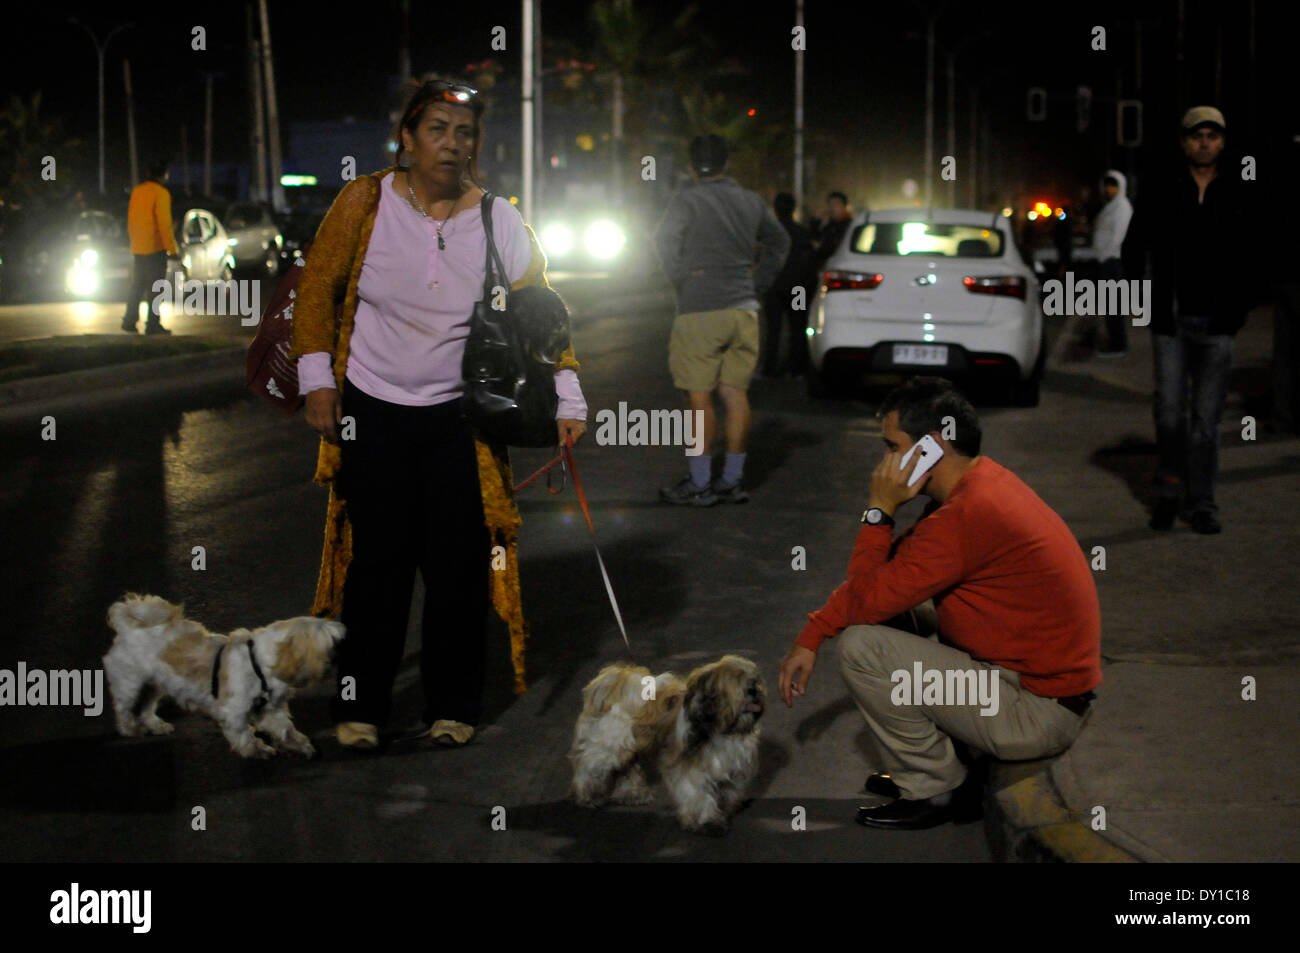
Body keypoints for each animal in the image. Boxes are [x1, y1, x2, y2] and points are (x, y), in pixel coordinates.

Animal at [102, 595, 345, 759]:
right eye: (332, 646)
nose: (337, 660)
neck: (258, 663)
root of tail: (128, 624)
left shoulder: (269, 710)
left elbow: (284, 729)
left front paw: (298, 745)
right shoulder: (234, 712)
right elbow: (244, 736)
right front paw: (257, 750)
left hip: (154, 685)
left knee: (146, 707)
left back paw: (155, 725)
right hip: (130, 684)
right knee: (125, 709)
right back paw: (131, 729)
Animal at [566, 655, 759, 832]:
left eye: (755, 680)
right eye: (736, 680)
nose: (753, 689)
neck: (723, 729)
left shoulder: (733, 768)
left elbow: (729, 791)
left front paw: (726, 810)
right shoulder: (689, 770)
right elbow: (698, 794)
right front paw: (706, 821)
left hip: (626, 747)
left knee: (624, 768)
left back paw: (633, 794)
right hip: (607, 746)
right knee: (588, 766)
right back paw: (587, 796)